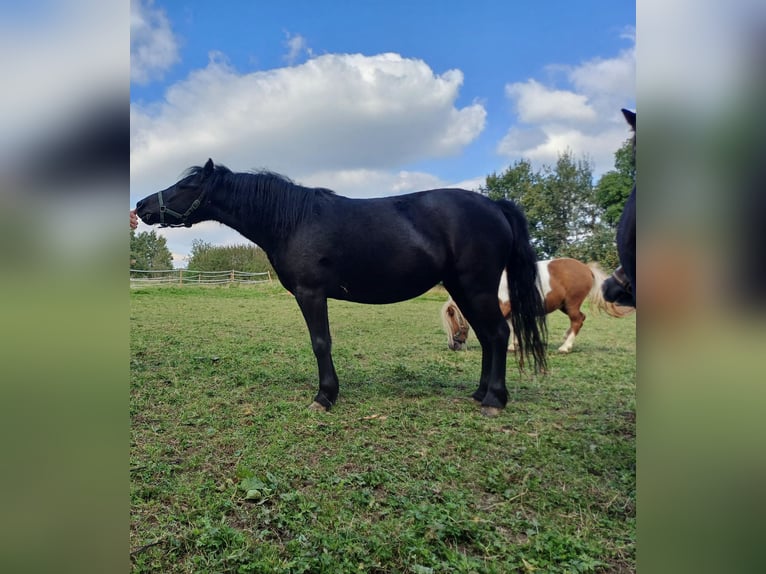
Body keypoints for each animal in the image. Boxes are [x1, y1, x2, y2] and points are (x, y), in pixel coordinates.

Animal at [136, 160, 544, 416]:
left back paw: (494, 400)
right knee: (487, 337)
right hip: (462, 289)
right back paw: (479, 393)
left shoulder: (311, 293)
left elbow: (321, 343)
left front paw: (325, 396)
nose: (142, 205)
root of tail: (495, 205)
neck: (294, 221)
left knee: (498, 333)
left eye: (186, 185)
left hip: (476, 287)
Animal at [444, 258, 636, 356]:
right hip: (564, 305)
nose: (453, 346)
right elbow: (513, 327)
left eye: (453, 321)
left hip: (572, 304)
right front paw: (513, 345)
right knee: (580, 319)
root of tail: (586, 268)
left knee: (578, 320)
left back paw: (565, 347)